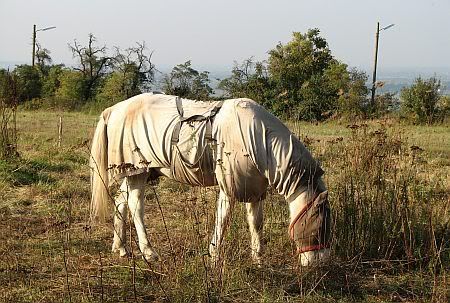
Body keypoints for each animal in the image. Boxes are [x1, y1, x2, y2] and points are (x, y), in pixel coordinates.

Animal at [90, 94, 330, 268]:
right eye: (320, 226)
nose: (319, 265)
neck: (259, 138)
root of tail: (114, 109)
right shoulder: (229, 186)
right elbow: (222, 221)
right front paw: (214, 258)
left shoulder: (253, 186)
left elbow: (256, 223)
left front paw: (258, 259)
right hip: (138, 171)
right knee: (135, 205)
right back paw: (149, 253)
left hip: (135, 172)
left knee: (121, 200)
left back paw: (120, 248)